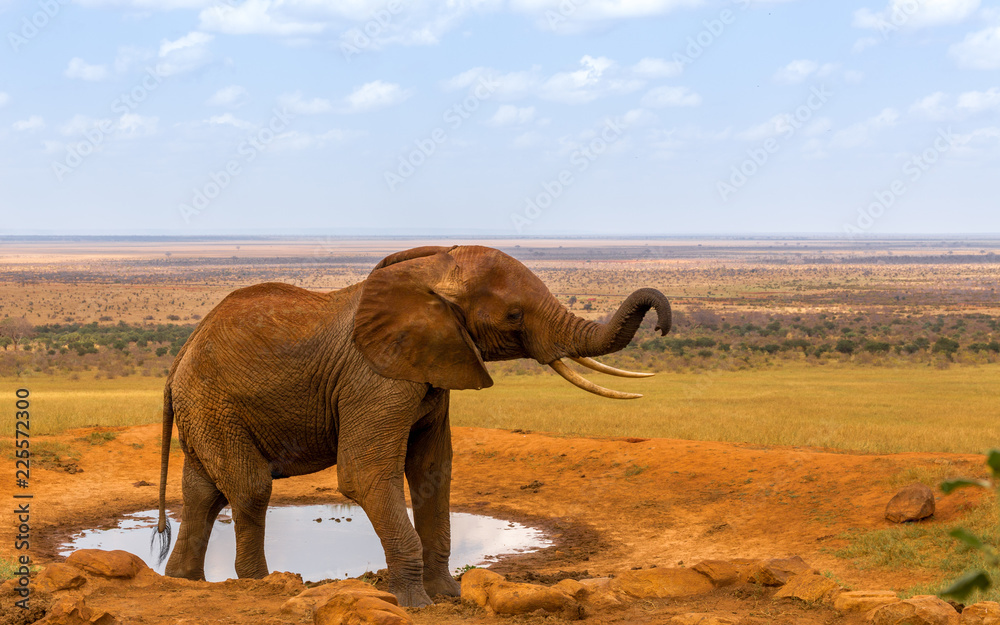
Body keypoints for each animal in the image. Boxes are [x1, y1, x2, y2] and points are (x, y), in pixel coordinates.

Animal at [153, 244, 671, 607]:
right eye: (514, 314)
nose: (663, 324)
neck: (431, 277)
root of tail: (181, 355)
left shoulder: (435, 365)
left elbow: (433, 472)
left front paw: (450, 597)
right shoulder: (374, 378)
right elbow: (364, 474)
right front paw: (417, 603)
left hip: (207, 408)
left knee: (203, 491)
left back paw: (183, 581)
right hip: (213, 402)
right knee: (251, 487)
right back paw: (262, 584)